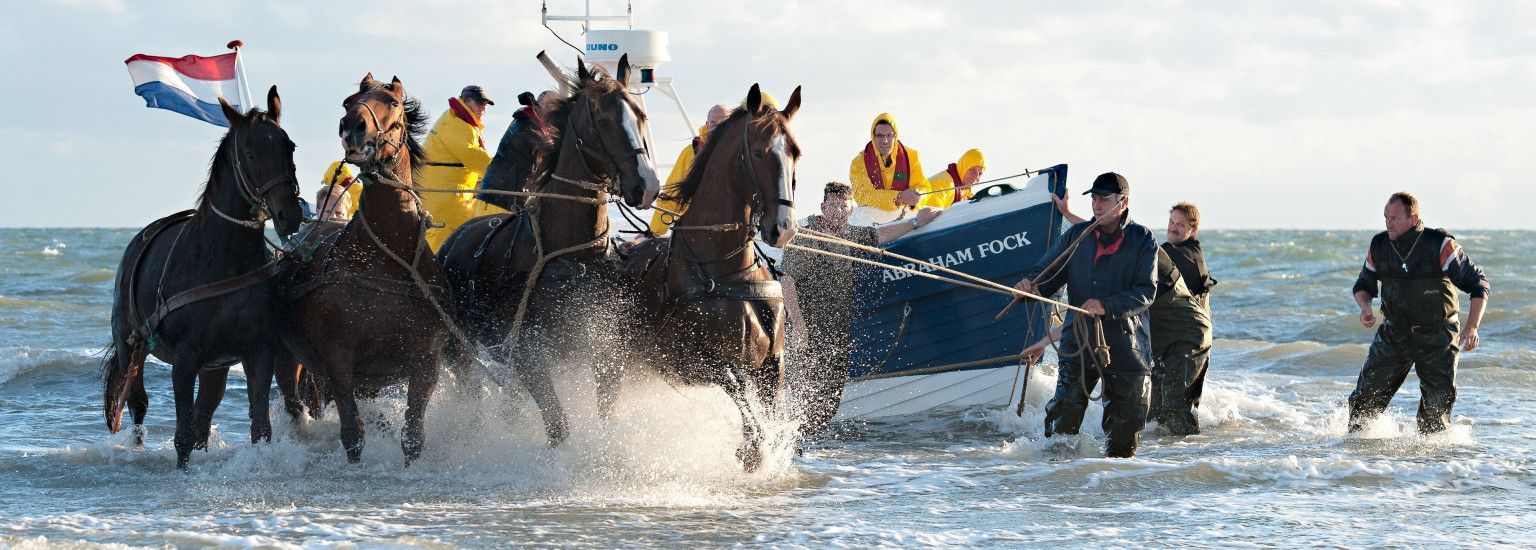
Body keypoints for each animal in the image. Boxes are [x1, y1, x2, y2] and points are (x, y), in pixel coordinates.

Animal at [102, 87, 305, 467]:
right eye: (251, 153)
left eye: (289, 146)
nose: (289, 214)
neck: (223, 257)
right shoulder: (185, 359)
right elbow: (182, 433)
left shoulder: (258, 352)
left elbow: (258, 427)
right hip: (130, 345)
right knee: (136, 400)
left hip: (216, 366)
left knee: (204, 413)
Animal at [282, 75, 448, 463]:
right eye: (347, 102)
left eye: (392, 101)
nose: (353, 126)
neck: (384, 261)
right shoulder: (338, 359)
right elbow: (353, 434)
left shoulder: (426, 358)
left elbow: (412, 436)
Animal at [439, 55, 666, 445]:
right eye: (604, 120)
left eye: (640, 115)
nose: (647, 185)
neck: (572, 256)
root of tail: (452, 240)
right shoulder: (528, 357)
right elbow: (558, 426)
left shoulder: (605, 353)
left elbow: (605, 413)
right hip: (459, 349)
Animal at [617, 83, 804, 470]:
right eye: (760, 153)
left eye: (795, 152)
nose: (783, 228)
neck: (727, 269)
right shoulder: (690, 361)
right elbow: (737, 389)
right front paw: (750, 449)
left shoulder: (773, 362)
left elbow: (771, 414)